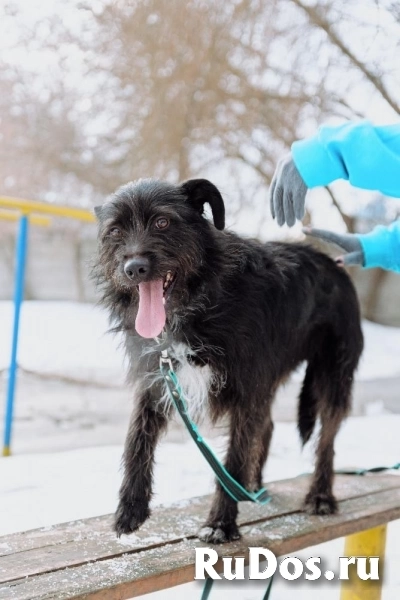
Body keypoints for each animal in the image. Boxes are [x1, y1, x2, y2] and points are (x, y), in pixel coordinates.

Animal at [93, 177, 362, 544]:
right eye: (115, 230)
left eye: (162, 222)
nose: (133, 268)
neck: (200, 300)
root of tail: (333, 263)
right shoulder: (156, 378)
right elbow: (137, 439)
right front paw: (131, 508)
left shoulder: (247, 390)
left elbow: (234, 457)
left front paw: (221, 522)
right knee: (269, 426)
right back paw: (253, 486)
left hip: (333, 375)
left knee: (326, 440)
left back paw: (320, 495)